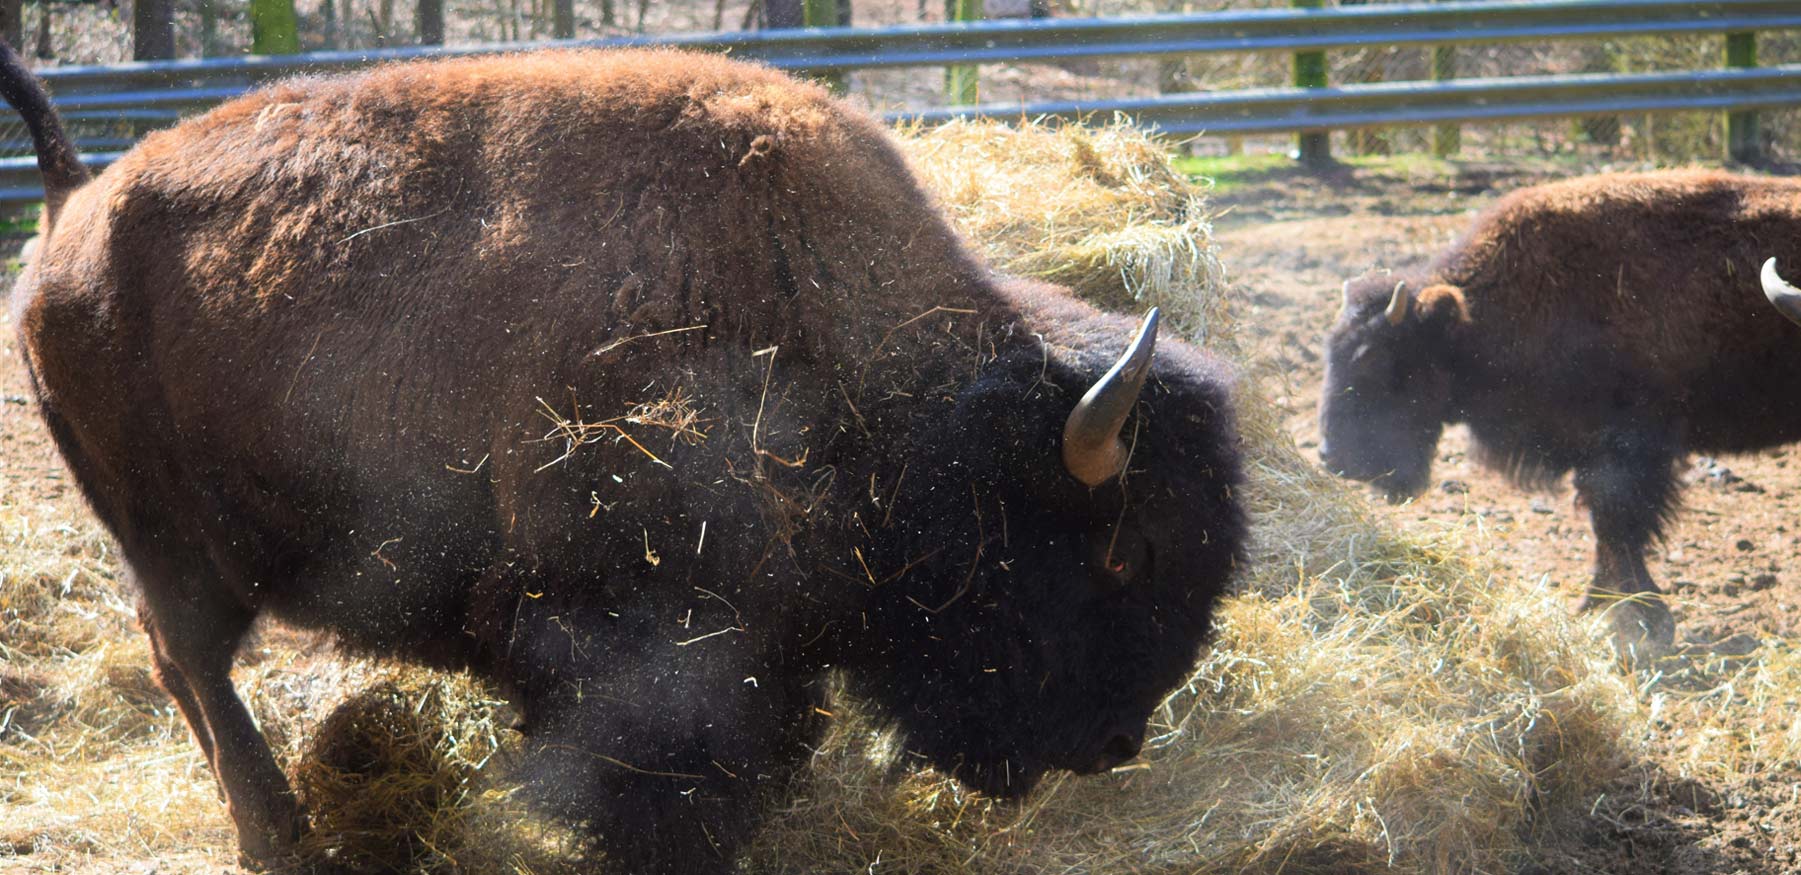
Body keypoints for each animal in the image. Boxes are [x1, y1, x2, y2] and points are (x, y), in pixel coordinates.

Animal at [3, 42, 1253, 875]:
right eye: (1124, 553)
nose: (1114, 742)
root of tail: (73, 206)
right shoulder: (631, 634)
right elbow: (660, 772)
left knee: (189, 669)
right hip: (173, 546)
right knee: (192, 665)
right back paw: (283, 838)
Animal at [1318, 171, 1801, 648]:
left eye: (1373, 358)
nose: (1331, 457)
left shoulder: (1630, 450)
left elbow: (1621, 523)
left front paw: (1646, 621)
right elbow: (1605, 526)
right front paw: (1596, 605)